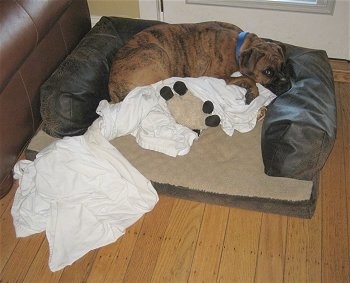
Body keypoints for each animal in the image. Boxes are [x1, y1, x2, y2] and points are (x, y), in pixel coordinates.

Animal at [108, 21, 292, 105]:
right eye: (268, 71)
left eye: (283, 67)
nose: (288, 85)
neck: (238, 46)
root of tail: (112, 88)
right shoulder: (217, 75)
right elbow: (248, 79)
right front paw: (252, 92)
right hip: (157, 52)